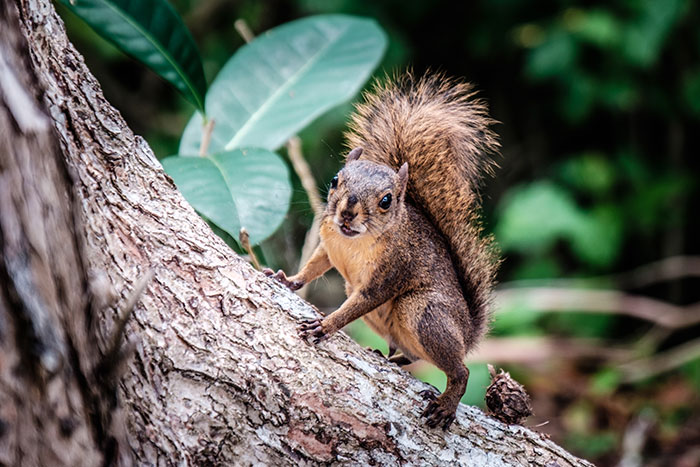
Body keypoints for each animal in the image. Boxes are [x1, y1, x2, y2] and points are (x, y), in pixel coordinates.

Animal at [264, 72, 499, 430]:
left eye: (386, 200)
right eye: (335, 180)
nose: (347, 213)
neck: (354, 241)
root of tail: (469, 332)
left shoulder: (392, 270)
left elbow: (360, 303)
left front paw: (325, 326)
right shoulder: (329, 244)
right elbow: (314, 265)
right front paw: (287, 279)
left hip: (422, 310)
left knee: (460, 370)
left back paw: (446, 403)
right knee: (414, 354)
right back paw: (389, 357)